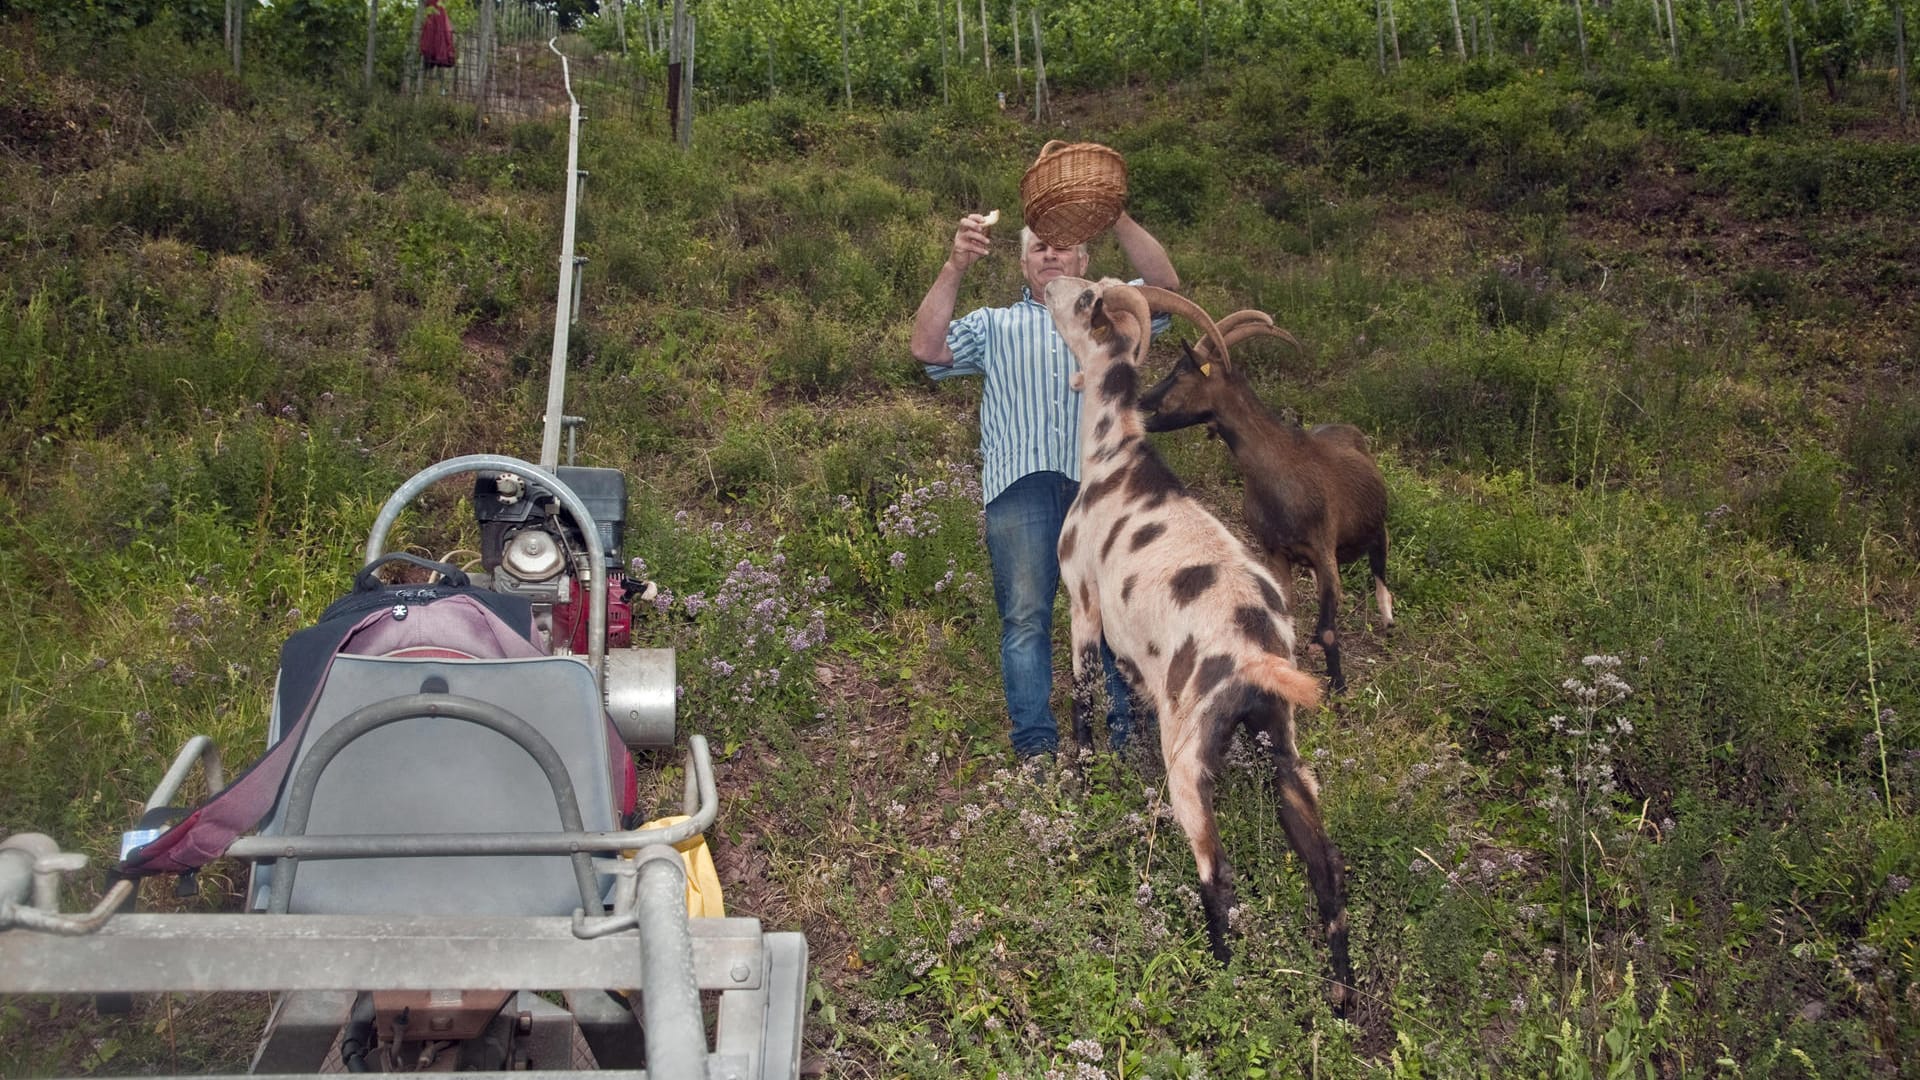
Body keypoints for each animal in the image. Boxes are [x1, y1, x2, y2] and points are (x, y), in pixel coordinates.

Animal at [1044, 274, 1359, 1006]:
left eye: (1086, 301)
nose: (1046, 280)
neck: (1114, 452)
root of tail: (1257, 657)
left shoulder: (1082, 601)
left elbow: (1080, 694)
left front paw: (1079, 778)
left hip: (1188, 759)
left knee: (1217, 872)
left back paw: (1219, 977)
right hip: (1285, 751)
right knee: (1324, 865)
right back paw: (1343, 997)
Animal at [1136, 315, 1397, 691]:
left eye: (1181, 370)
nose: (1144, 399)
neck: (1279, 470)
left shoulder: (1324, 548)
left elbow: (1328, 628)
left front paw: (1338, 685)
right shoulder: (1276, 552)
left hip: (1373, 529)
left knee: (1380, 560)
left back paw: (1388, 618)